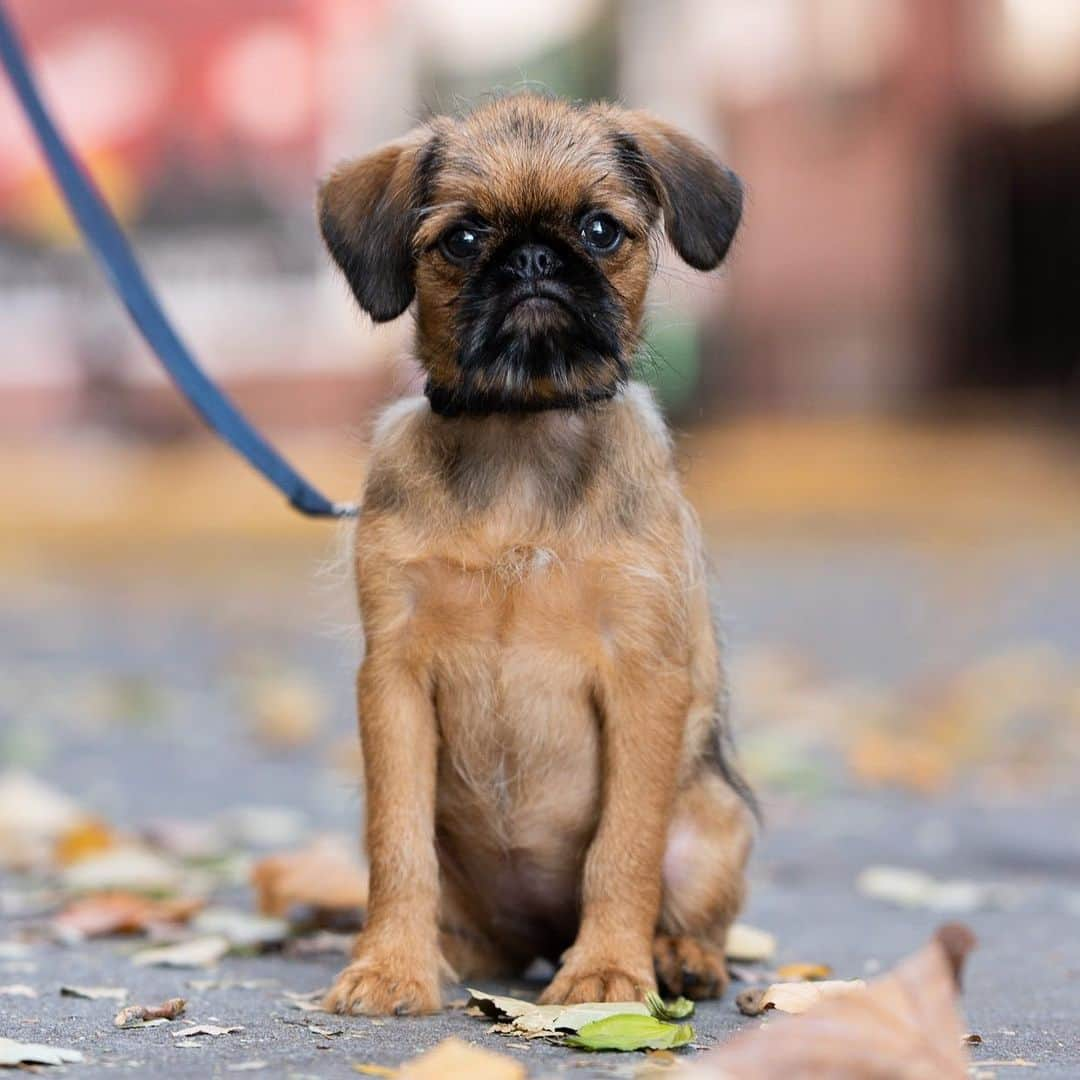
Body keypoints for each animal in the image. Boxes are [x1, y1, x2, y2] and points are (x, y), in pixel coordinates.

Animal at [319, 92, 756, 1010]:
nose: (532, 259)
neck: (520, 432)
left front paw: (608, 974)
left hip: (716, 818)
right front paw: (389, 966)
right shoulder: (394, 679)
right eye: (463, 239)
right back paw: (447, 951)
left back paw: (674, 956)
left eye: (599, 230)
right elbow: (397, 845)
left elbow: (624, 848)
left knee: (691, 905)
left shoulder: (643, 679)